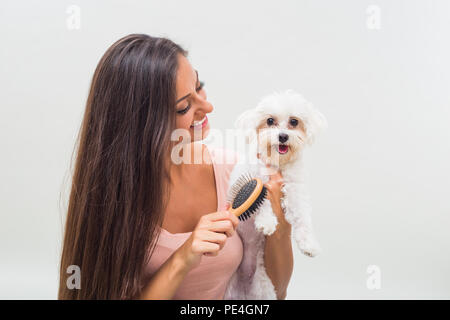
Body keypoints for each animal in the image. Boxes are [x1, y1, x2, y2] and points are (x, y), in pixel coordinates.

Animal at [224, 89, 326, 298]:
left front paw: (309, 243)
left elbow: (302, 217)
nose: (283, 136)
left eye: (294, 121)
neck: (277, 164)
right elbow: (261, 202)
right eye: (270, 120)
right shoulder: (254, 183)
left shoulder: (295, 189)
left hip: (263, 285)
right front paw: (267, 222)